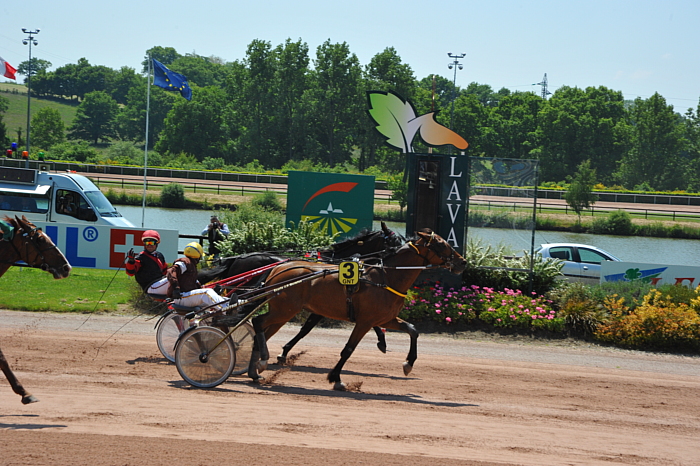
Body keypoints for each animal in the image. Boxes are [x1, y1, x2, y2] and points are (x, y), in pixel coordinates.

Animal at [249, 229, 468, 390]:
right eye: (441, 244)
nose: (462, 262)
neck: (385, 278)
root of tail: (277, 268)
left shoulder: (385, 319)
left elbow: (413, 330)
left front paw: (408, 364)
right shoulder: (365, 322)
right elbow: (348, 349)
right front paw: (336, 378)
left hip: (283, 312)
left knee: (262, 331)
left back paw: (254, 371)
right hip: (284, 310)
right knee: (257, 322)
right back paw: (262, 361)